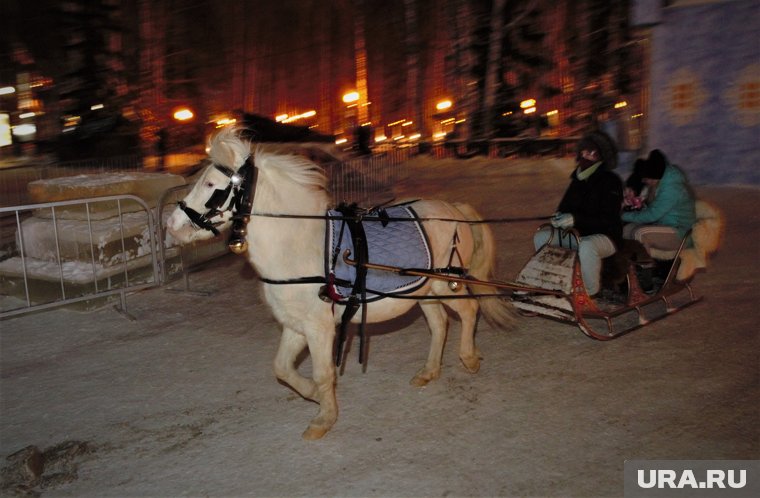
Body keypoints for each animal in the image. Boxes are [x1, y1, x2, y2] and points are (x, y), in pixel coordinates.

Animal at [168, 128, 516, 440]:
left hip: (446, 284)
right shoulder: (296, 326)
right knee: (440, 324)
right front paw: (312, 395)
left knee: (469, 311)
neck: (300, 246)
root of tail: (453, 209)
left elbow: (323, 373)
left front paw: (323, 418)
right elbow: (282, 368)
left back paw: (469, 358)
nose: (172, 225)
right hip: (425, 291)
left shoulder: (320, 327)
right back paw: (429, 372)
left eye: (210, 184)